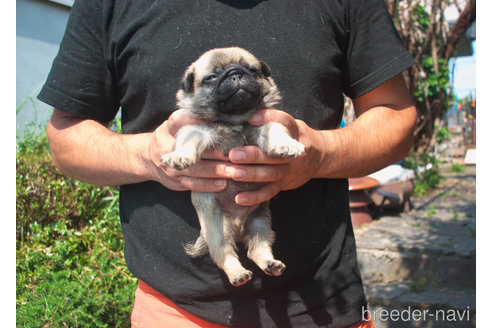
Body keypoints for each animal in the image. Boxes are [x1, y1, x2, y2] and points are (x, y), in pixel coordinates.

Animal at [161, 47, 304, 286]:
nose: (235, 74)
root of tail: (237, 227)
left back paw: (271, 264)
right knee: (224, 254)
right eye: (212, 77)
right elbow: (187, 140)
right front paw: (180, 156)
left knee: (257, 249)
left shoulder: (263, 124)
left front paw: (287, 144)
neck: (234, 121)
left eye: (252, 70)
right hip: (218, 229)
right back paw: (238, 274)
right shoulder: (197, 129)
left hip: (260, 222)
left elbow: (276, 130)